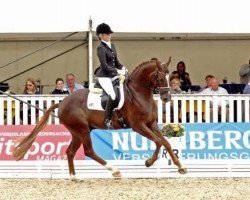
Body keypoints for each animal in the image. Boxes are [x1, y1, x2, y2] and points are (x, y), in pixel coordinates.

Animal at [12, 57, 187, 178]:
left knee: (70, 151)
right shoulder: (138, 126)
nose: (166, 98)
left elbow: (166, 142)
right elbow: (158, 142)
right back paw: (114, 170)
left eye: (170, 76)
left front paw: (180, 167)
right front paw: (149, 162)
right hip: (82, 129)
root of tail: (62, 103)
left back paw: (74, 177)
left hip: (78, 131)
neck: (138, 93)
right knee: (89, 151)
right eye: (159, 77)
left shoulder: (151, 124)